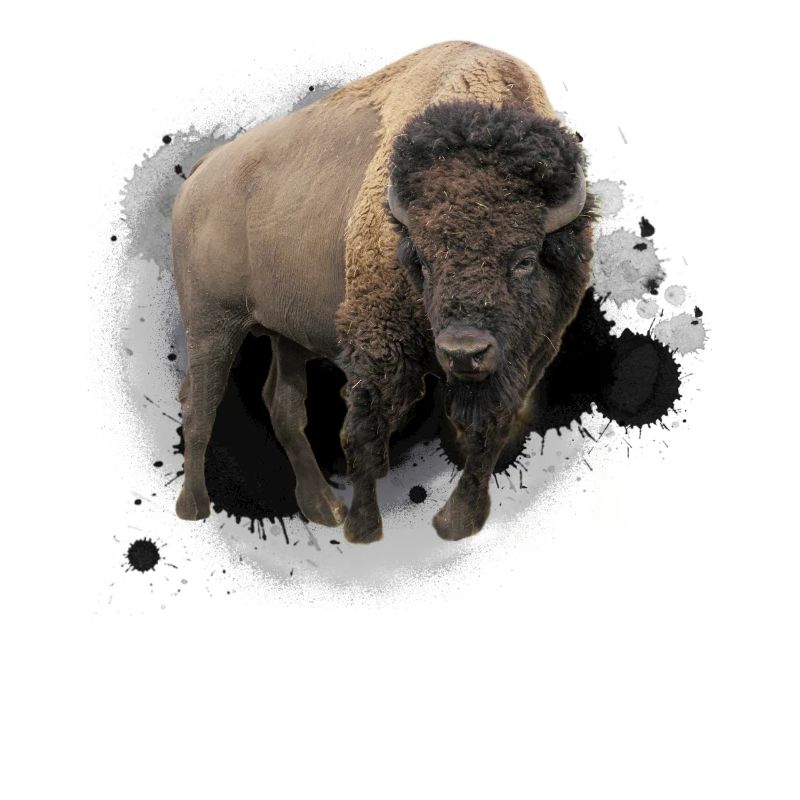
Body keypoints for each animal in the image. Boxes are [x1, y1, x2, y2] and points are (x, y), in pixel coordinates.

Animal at [172, 41, 596, 543]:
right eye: (423, 261)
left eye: (525, 259)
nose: (464, 352)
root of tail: (199, 176)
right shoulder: (378, 350)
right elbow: (364, 435)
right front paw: (364, 529)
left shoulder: (525, 359)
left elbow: (486, 432)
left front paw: (458, 524)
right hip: (211, 325)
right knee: (200, 405)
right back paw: (194, 508)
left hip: (285, 334)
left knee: (283, 407)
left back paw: (323, 509)